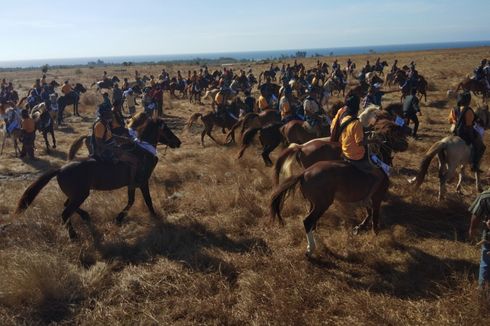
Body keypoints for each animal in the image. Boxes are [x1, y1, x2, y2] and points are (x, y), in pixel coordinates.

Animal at [17, 114, 183, 239]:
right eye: (167, 130)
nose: (178, 142)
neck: (142, 152)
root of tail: (60, 169)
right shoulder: (142, 182)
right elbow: (147, 201)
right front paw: (155, 216)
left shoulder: (132, 185)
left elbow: (131, 201)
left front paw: (119, 218)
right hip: (80, 195)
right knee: (65, 213)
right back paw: (73, 235)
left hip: (77, 195)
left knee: (67, 206)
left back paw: (85, 216)